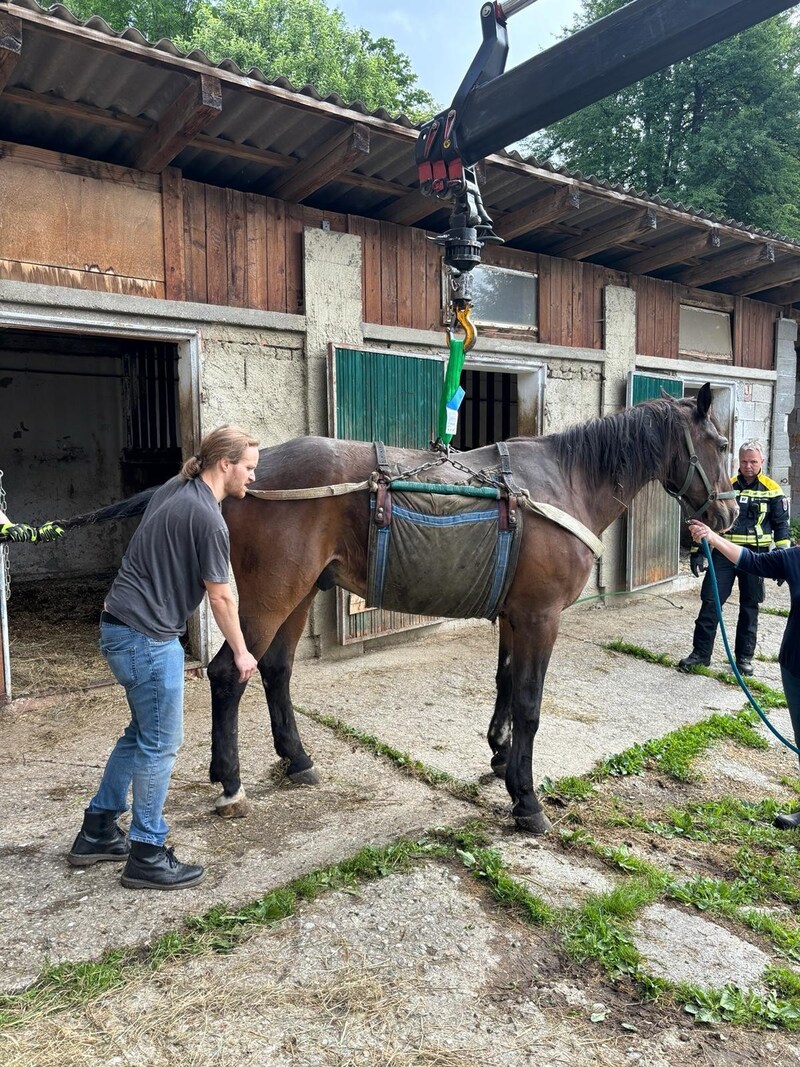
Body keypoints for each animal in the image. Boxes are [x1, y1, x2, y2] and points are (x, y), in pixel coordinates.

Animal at [206, 384, 738, 832]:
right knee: (229, 674)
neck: (564, 483)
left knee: (276, 669)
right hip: (271, 598)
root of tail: (249, 477)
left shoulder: (515, 616)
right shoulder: (541, 617)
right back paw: (230, 783)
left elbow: (506, 684)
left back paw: (297, 759)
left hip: (299, 596)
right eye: (721, 444)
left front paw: (501, 755)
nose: (729, 513)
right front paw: (526, 800)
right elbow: (529, 704)